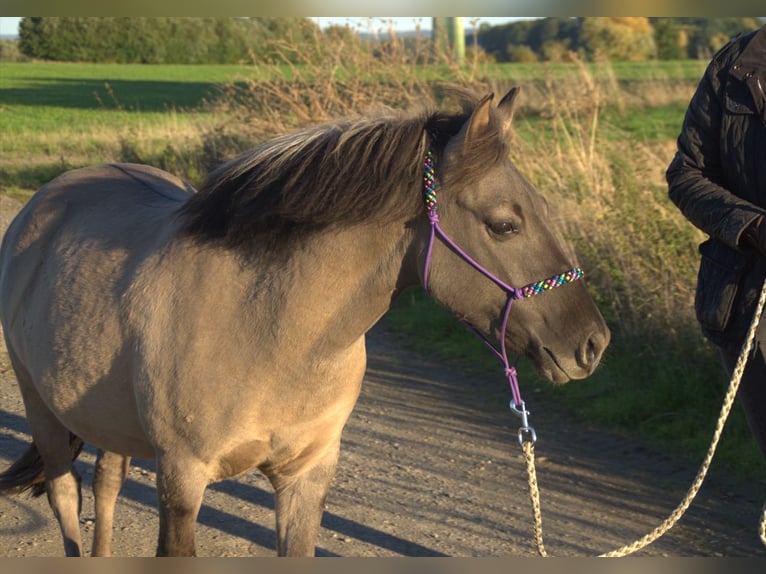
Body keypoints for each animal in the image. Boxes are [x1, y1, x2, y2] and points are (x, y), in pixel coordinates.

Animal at [0, 90, 612, 560]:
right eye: (505, 224)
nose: (591, 343)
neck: (269, 329)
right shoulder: (181, 482)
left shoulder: (306, 478)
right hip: (42, 409)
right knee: (66, 495)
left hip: (109, 419)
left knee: (107, 483)